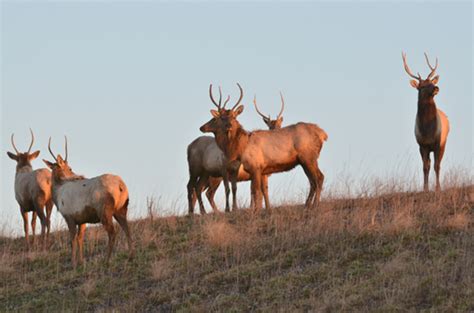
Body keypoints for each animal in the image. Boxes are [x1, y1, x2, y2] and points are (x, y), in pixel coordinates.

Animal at [43, 137, 134, 266]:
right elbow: (80, 238)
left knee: (112, 233)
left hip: (104, 210)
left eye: (70, 167)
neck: (57, 193)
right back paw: (131, 256)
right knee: (127, 229)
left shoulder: (69, 216)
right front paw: (81, 261)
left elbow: (72, 239)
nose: (76, 175)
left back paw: (106, 260)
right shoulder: (82, 219)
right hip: (122, 208)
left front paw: (73, 263)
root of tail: (121, 186)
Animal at [198, 83, 328, 210]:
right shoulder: (258, 170)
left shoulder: (256, 166)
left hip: (308, 157)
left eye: (234, 117)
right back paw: (307, 206)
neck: (241, 147)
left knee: (319, 178)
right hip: (304, 160)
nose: (229, 126)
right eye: (221, 117)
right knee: (313, 181)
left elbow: (256, 192)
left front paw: (256, 211)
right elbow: (257, 192)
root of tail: (322, 134)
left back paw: (315, 206)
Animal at [402, 51, 450, 190]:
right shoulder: (422, 145)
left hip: (444, 143)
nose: (436, 88)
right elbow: (425, 167)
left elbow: (436, 166)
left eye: (431, 82)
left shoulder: (438, 142)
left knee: (438, 163)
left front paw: (438, 188)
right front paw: (425, 188)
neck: (427, 130)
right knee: (428, 164)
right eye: (422, 86)